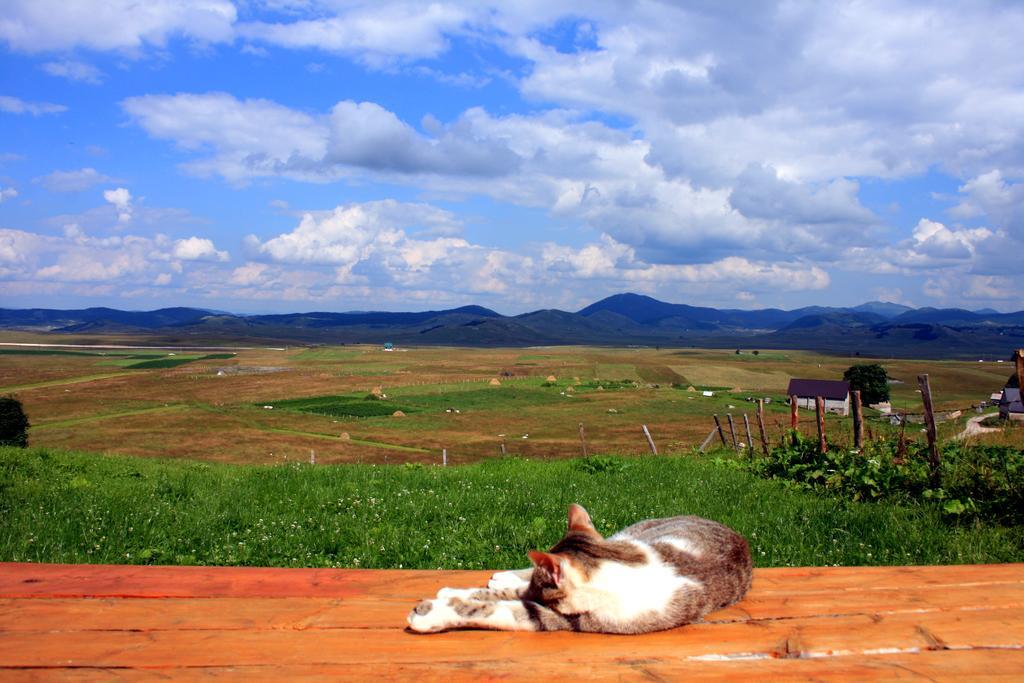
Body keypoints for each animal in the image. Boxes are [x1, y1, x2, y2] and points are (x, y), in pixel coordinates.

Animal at [407, 501, 753, 634]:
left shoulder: (563, 617)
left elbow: (503, 608)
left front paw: (433, 610)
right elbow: (510, 591)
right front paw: (455, 592)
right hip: (631, 532)